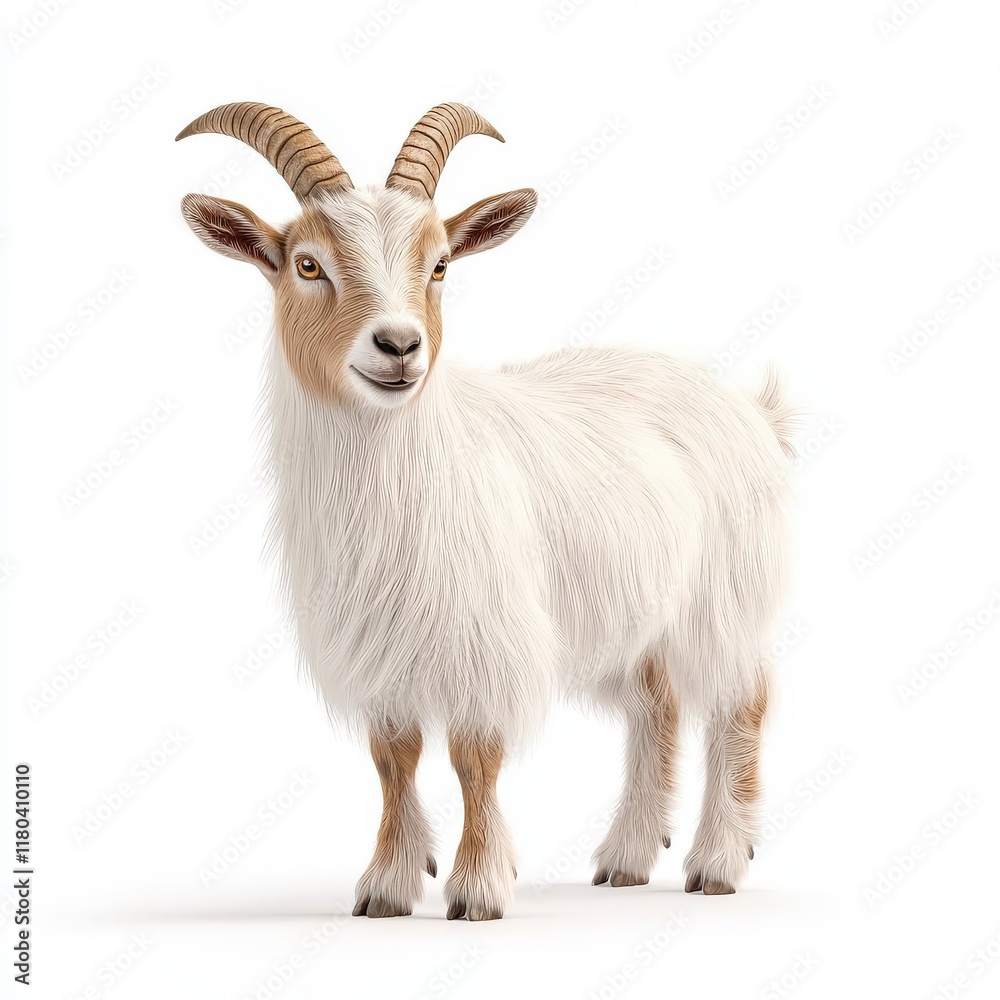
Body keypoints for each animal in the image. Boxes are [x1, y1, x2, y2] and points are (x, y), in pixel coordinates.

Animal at [177, 101, 797, 920]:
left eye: (439, 265)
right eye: (308, 264)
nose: (399, 345)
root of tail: (751, 408)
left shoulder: (487, 637)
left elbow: (475, 758)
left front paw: (478, 888)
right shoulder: (383, 651)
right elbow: (394, 759)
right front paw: (387, 885)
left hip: (722, 600)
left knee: (739, 705)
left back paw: (718, 864)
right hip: (636, 614)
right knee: (655, 708)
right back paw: (627, 859)